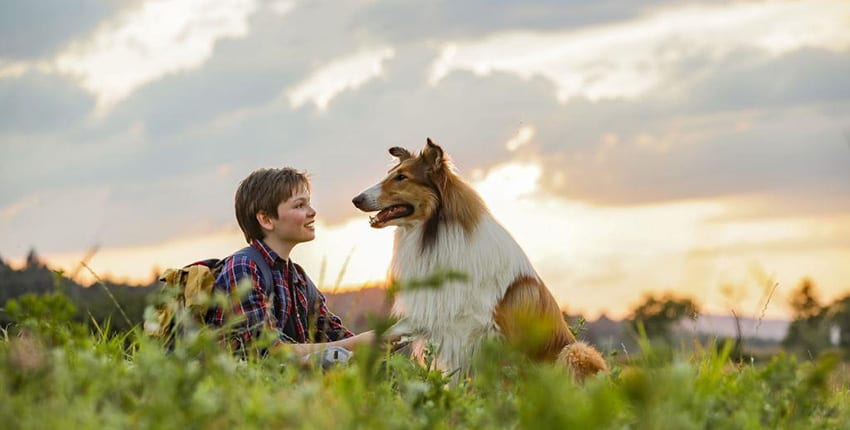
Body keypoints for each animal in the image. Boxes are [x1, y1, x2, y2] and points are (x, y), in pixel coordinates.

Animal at [350, 138, 604, 380]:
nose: (356, 199)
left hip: (576, 351)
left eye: (402, 177)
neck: (434, 233)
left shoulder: (485, 336)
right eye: (391, 174)